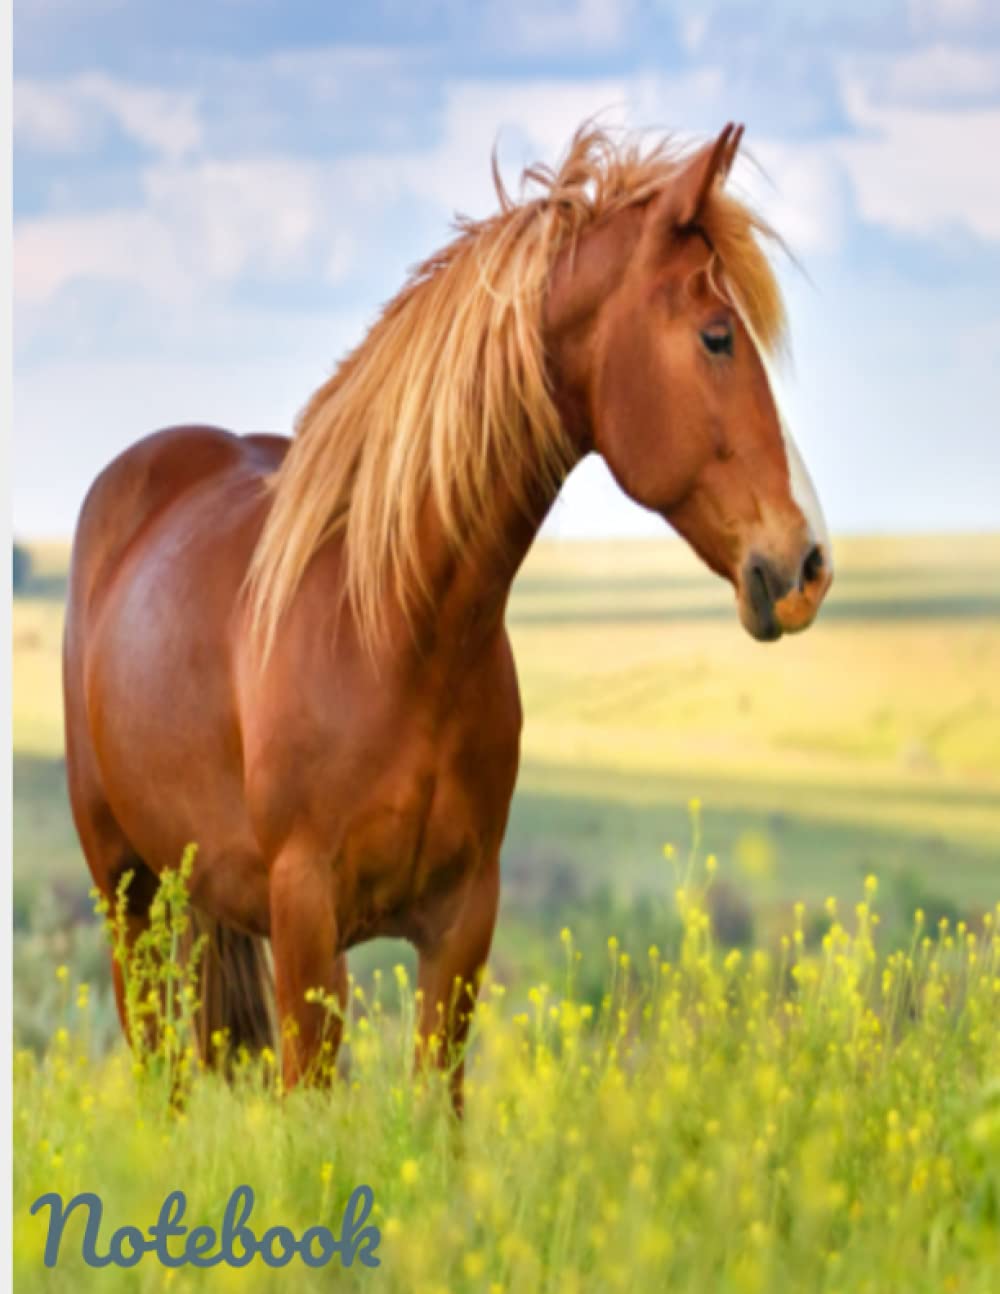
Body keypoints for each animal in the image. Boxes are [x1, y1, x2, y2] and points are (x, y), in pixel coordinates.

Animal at [63, 122, 832, 1110]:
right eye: (716, 336)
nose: (807, 564)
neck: (393, 633)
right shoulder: (306, 922)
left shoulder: (463, 925)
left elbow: (437, 1111)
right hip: (127, 895)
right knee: (160, 1076)